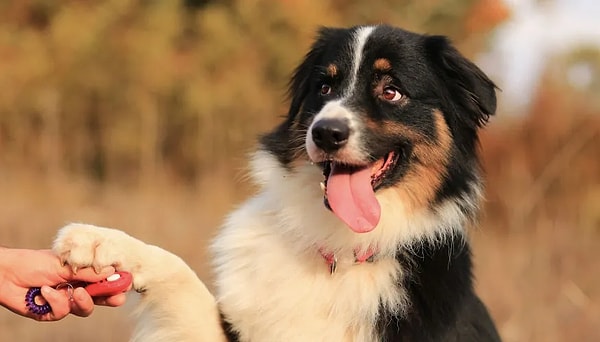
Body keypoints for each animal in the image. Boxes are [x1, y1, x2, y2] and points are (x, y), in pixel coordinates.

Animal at [51, 25, 502, 340]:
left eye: (391, 91)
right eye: (324, 86)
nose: (326, 133)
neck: (342, 252)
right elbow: (180, 272)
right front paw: (99, 241)